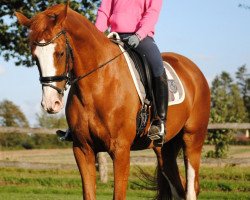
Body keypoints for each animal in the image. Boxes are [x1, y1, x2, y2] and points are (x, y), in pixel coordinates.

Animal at [15, 2, 210, 200]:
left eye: (60, 53)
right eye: (35, 57)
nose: (50, 104)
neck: (99, 83)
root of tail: (193, 69)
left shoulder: (121, 150)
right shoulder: (82, 150)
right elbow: (88, 193)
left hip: (192, 139)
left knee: (191, 187)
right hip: (164, 149)